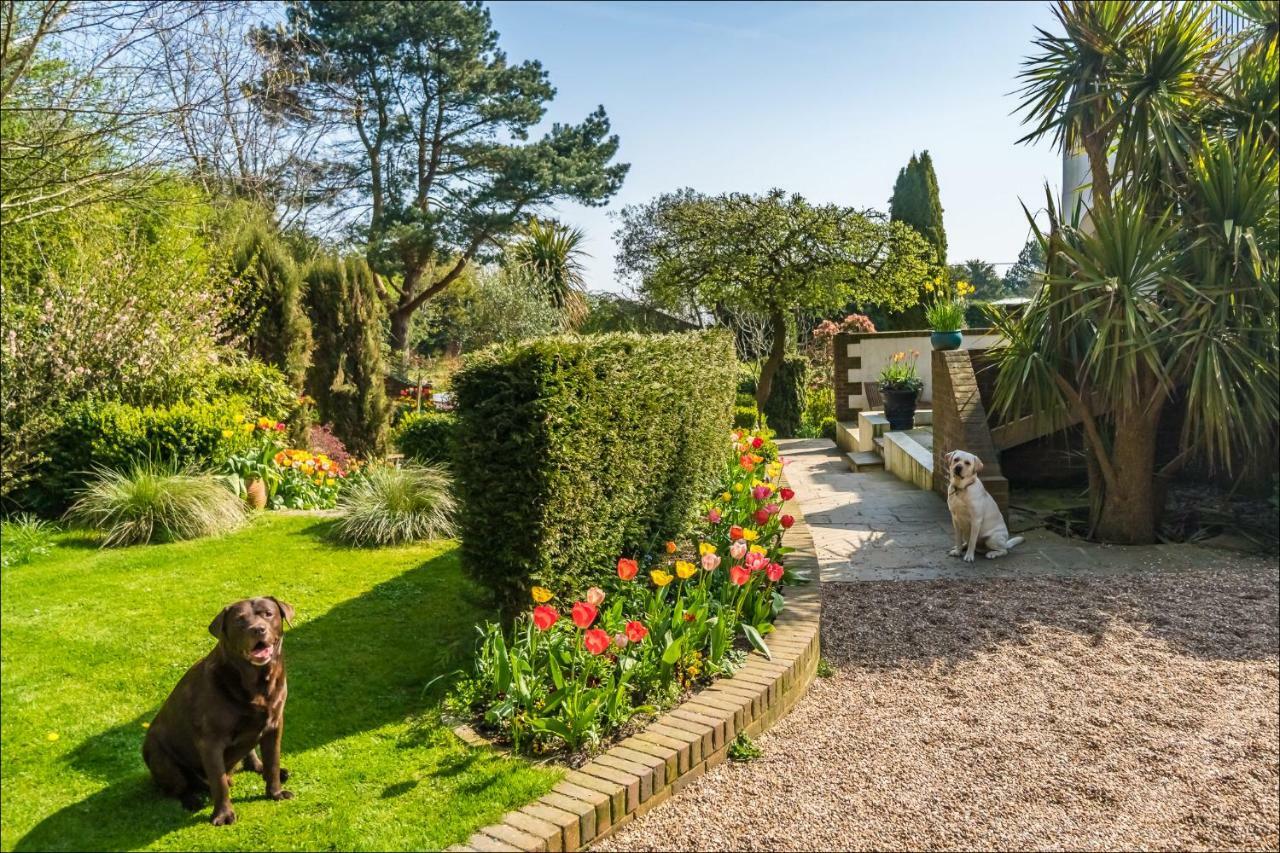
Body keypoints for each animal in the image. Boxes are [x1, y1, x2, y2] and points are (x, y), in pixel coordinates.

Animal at [144, 594, 295, 819]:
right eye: (240, 620)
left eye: (268, 614)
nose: (258, 629)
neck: (255, 682)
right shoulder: (210, 741)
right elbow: (219, 782)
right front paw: (223, 815)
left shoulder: (274, 725)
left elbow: (273, 762)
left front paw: (275, 792)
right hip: (159, 756)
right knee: (177, 788)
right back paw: (191, 800)